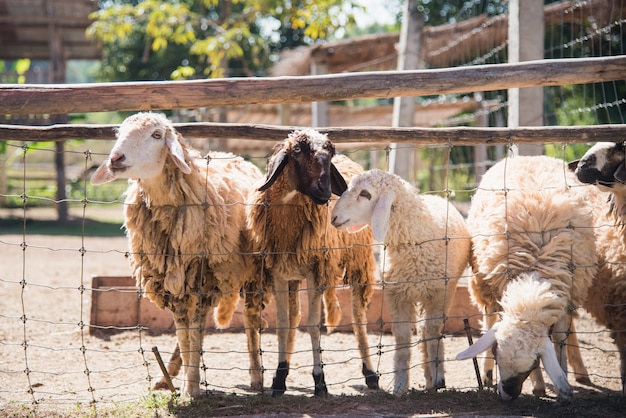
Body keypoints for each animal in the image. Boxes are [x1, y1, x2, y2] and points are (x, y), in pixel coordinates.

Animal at [89, 112, 262, 398]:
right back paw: (168, 373)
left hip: (252, 270)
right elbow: (183, 331)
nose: (115, 159)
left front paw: (191, 387)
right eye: (119, 134)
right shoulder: (171, 281)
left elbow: (194, 331)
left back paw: (256, 375)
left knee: (250, 319)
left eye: (157, 135)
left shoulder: (202, 278)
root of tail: (232, 155)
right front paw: (185, 382)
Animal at [246, 129, 378, 396]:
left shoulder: (316, 270)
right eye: (297, 150)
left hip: (359, 260)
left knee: (359, 317)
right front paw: (279, 378)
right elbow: (284, 324)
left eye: (330, 153)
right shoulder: (278, 272)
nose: (325, 192)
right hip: (294, 276)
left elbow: (314, 325)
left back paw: (370, 373)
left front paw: (320, 381)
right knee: (294, 316)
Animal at [330, 169, 470, 396]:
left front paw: (438, 376)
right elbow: (403, 340)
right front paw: (400, 385)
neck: (415, 240)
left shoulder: (440, 292)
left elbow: (432, 332)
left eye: (365, 194)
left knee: (427, 329)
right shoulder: (397, 295)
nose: (333, 217)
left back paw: (433, 376)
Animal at [456, 155, 596, 400]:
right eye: (496, 352)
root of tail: (526, 156)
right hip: (483, 281)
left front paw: (562, 379)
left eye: (533, 361)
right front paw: (539, 386)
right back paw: (486, 372)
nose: (507, 394)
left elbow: (561, 337)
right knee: (489, 316)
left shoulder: (566, 295)